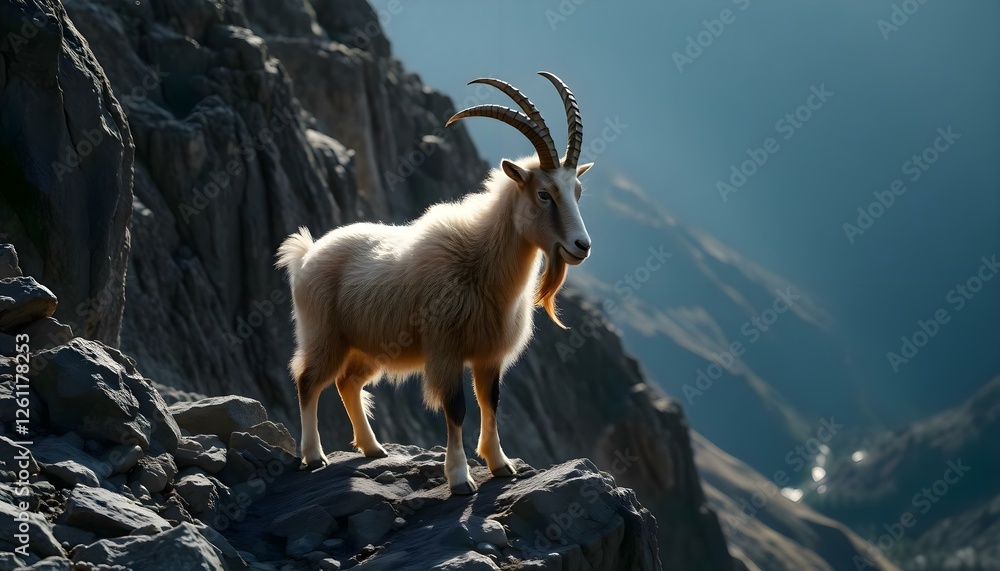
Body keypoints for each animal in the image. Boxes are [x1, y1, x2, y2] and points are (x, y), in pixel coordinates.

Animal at [276, 72, 593, 495]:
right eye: (544, 193)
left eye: (577, 191)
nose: (581, 246)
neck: (481, 261)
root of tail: (306, 254)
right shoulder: (445, 350)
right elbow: (456, 407)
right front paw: (459, 478)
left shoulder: (488, 355)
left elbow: (490, 402)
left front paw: (500, 465)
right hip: (324, 334)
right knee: (308, 380)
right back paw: (314, 455)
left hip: (368, 346)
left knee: (347, 382)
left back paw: (373, 448)